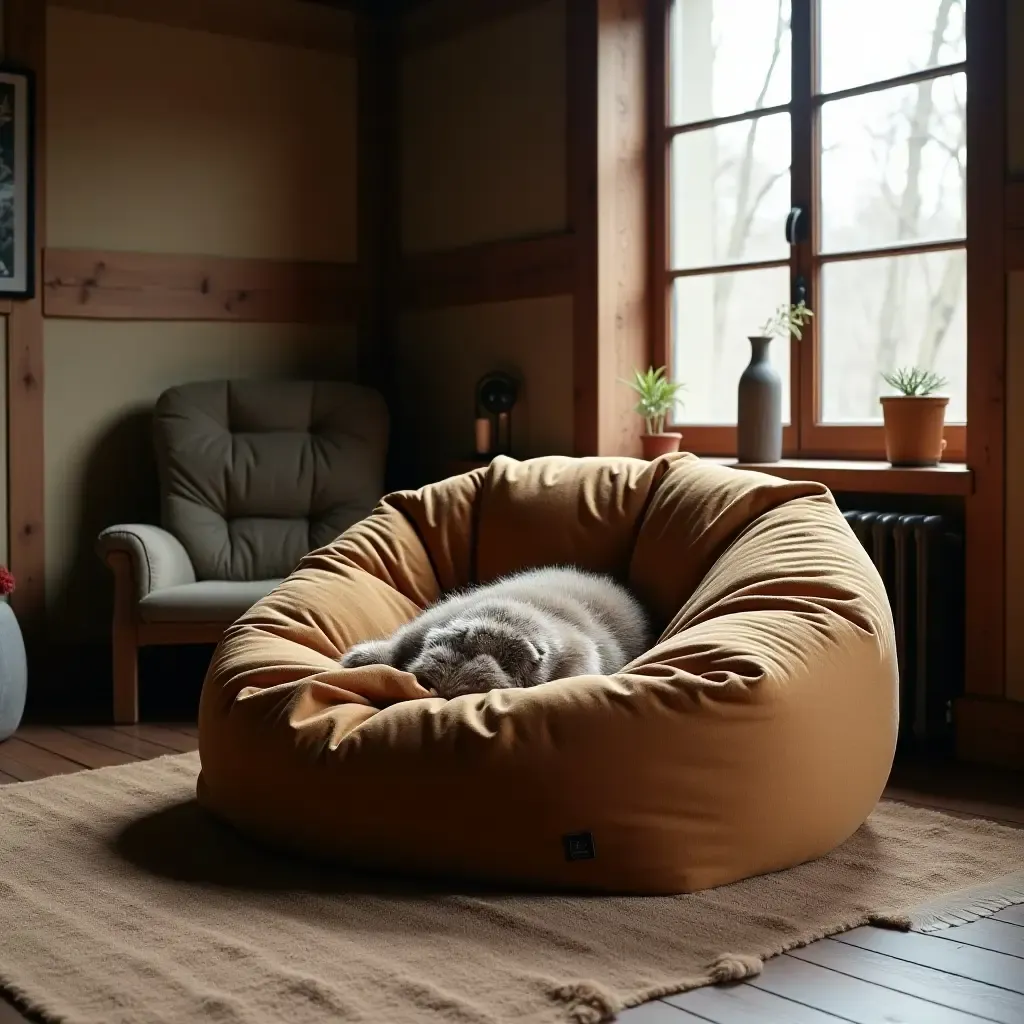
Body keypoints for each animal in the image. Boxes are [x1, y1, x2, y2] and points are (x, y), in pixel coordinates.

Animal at [339, 565, 651, 700]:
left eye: (506, 662)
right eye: (460, 642)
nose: (451, 680)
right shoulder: (434, 620)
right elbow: (398, 644)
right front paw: (356, 659)